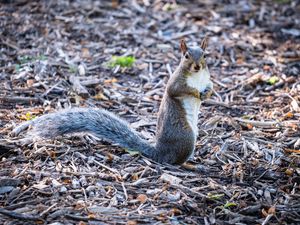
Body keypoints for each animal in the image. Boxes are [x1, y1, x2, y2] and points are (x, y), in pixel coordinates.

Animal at [12, 38, 213, 165]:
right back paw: (188, 165)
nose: (197, 66)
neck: (197, 76)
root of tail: (159, 152)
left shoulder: (207, 78)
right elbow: (177, 91)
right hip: (186, 137)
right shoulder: (176, 82)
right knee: (174, 162)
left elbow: (210, 86)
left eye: (205, 55)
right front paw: (196, 93)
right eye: (186, 56)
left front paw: (207, 93)